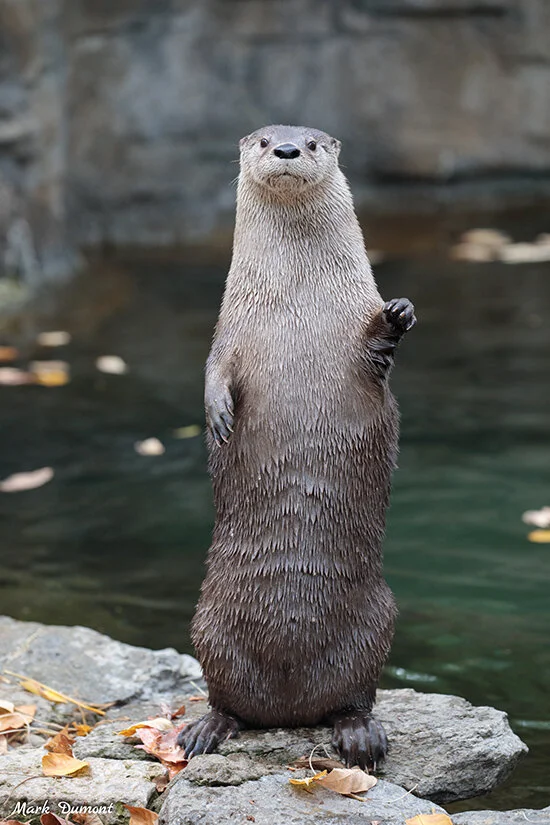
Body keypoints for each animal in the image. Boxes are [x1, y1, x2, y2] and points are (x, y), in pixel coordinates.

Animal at [178, 125, 416, 770]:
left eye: (310, 142)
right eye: (264, 140)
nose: (286, 150)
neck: (295, 307)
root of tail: (288, 709)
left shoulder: (359, 339)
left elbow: (378, 350)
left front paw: (398, 314)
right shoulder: (230, 330)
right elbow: (211, 370)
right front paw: (218, 415)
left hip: (377, 620)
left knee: (354, 696)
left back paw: (359, 737)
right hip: (208, 621)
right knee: (225, 696)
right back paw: (205, 730)